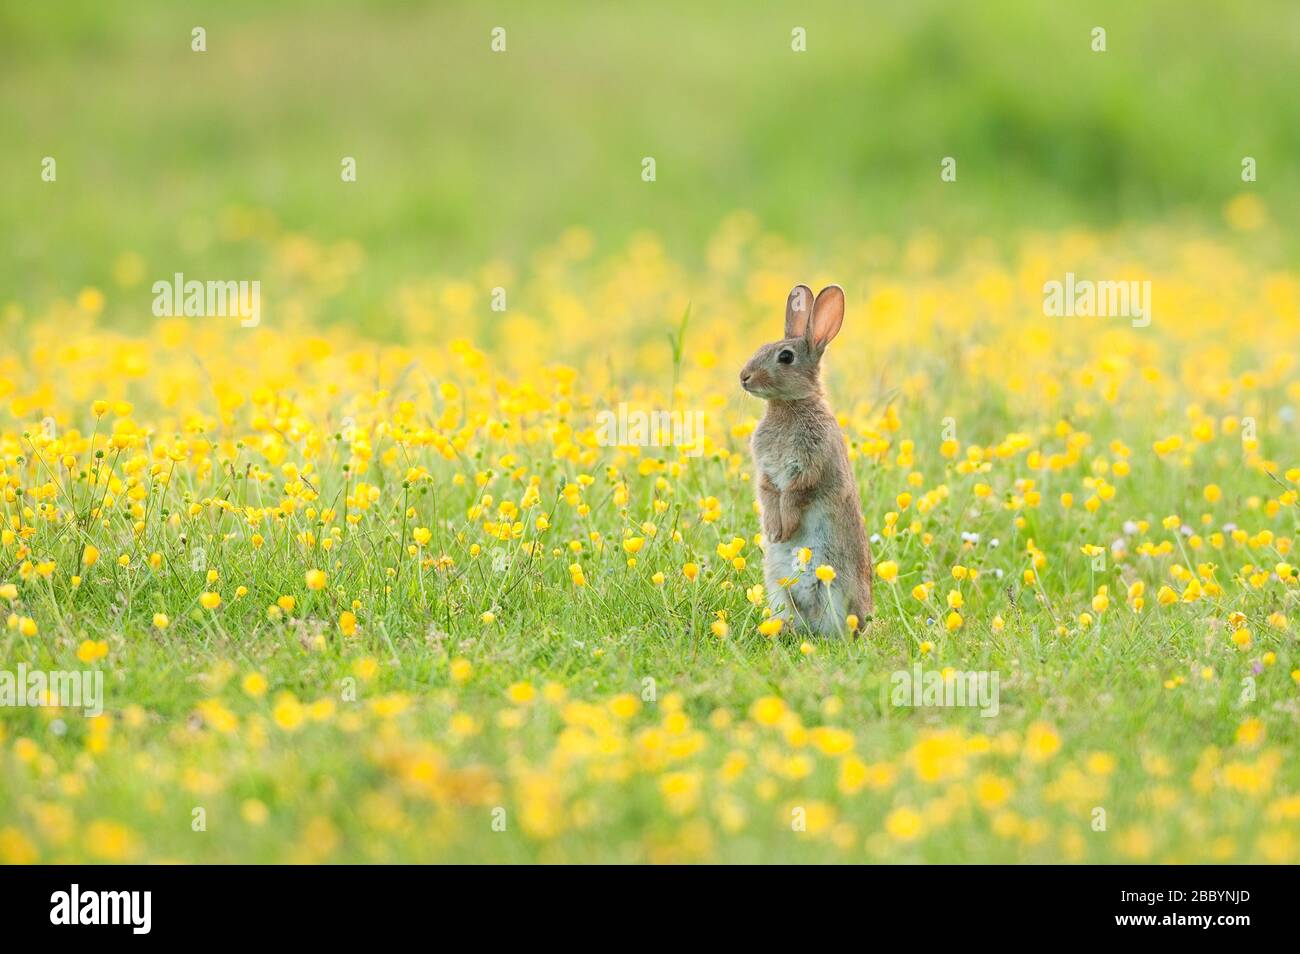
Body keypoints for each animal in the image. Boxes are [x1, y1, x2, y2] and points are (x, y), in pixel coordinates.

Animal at [743, 287, 873, 639]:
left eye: (785, 357)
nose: (744, 377)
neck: (788, 405)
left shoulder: (811, 467)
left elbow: (795, 494)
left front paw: (784, 529)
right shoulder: (765, 472)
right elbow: (768, 491)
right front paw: (774, 532)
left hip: (836, 588)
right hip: (778, 588)